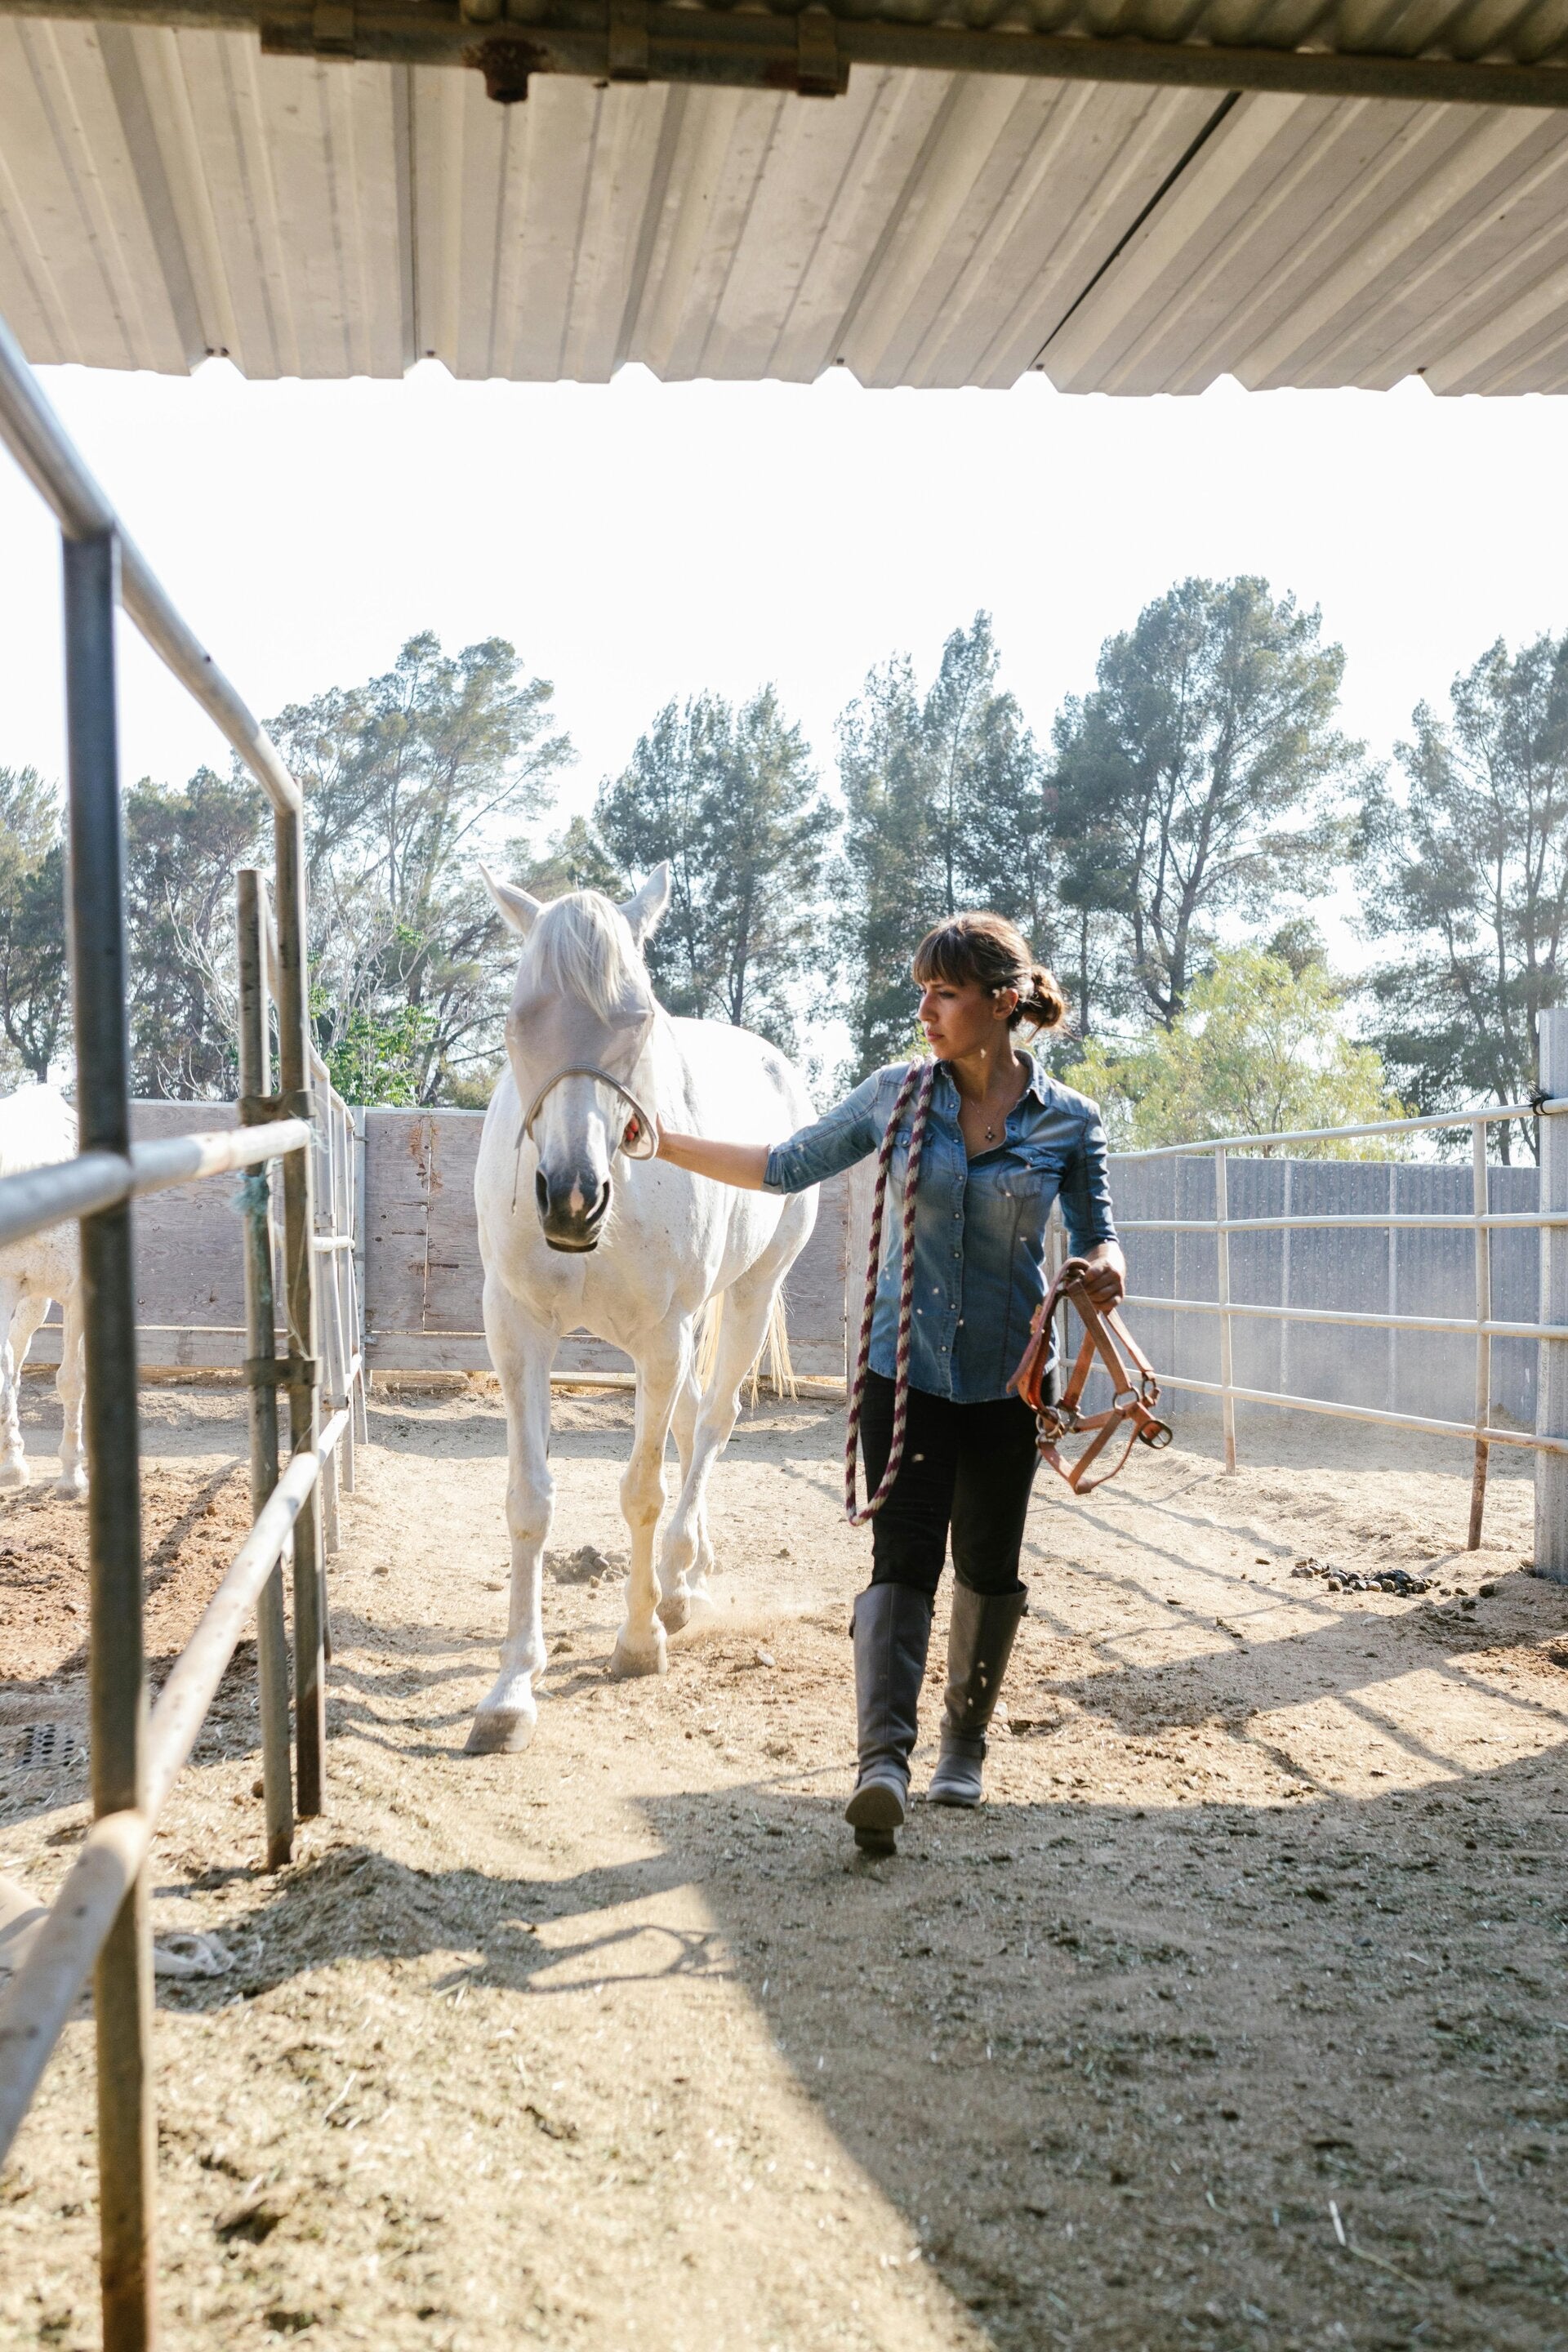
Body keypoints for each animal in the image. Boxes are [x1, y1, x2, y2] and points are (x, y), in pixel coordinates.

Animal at [467, 865, 818, 1755]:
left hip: (745, 1296)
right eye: (521, 1020)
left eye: (637, 1019)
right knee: (693, 1425)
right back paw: (684, 1571)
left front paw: (636, 1642)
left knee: (712, 1424)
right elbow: (529, 1500)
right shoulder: (516, 1332)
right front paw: (512, 1689)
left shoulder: (663, 1340)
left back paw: (678, 1588)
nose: (571, 1196)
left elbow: (643, 1493)